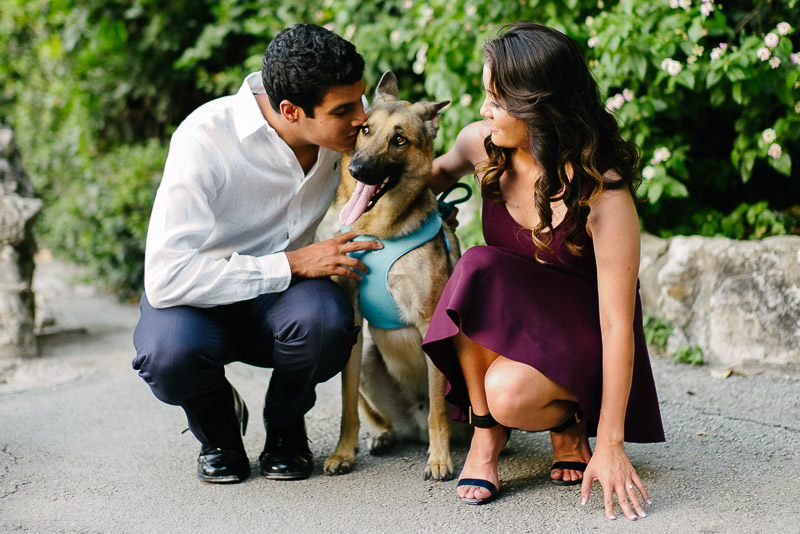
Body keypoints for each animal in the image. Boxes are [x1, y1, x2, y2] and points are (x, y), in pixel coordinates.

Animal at [324, 72, 460, 482]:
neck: (380, 235)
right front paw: (343, 452)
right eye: (365, 129)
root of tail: (412, 422)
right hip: (368, 357)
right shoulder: (353, 327)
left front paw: (439, 460)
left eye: (399, 139)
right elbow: (347, 407)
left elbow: (438, 411)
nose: (357, 170)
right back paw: (383, 435)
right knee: (382, 419)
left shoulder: (431, 324)